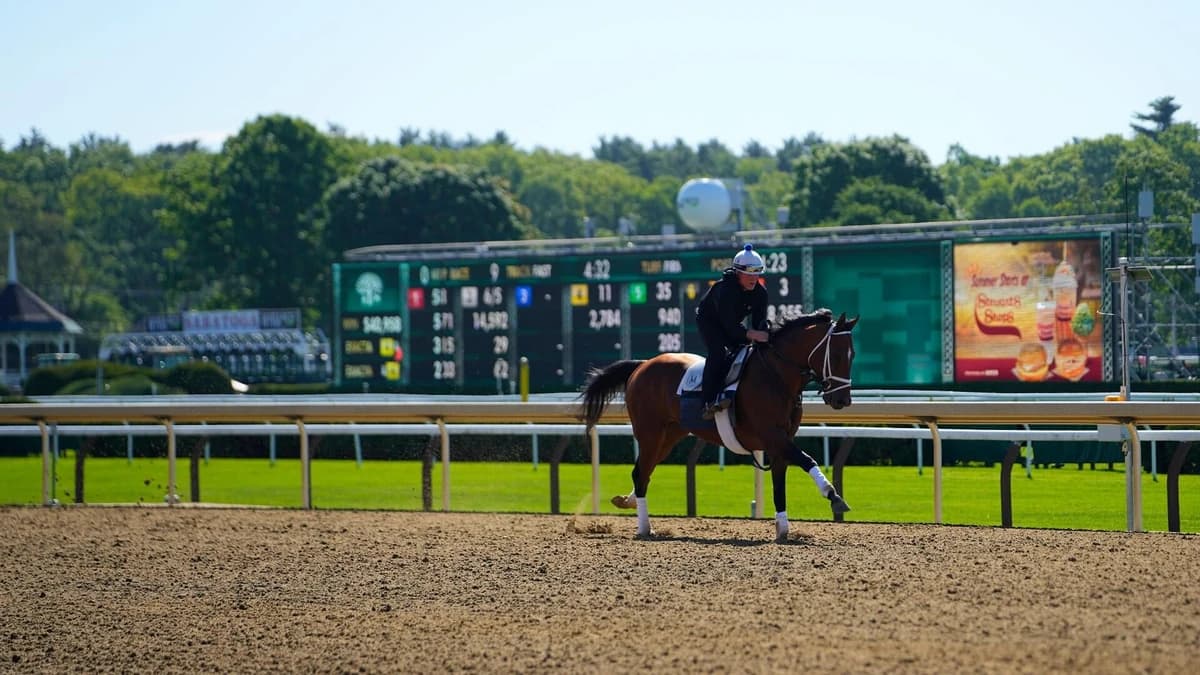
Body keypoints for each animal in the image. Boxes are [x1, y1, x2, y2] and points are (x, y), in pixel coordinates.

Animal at [579, 309, 858, 543]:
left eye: (852, 355)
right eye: (835, 355)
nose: (842, 400)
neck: (775, 376)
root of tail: (642, 365)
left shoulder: (780, 442)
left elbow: (780, 484)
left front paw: (783, 530)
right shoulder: (772, 435)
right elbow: (807, 459)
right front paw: (834, 495)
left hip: (669, 436)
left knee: (644, 472)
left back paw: (628, 502)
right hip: (650, 433)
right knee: (640, 473)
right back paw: (645, 528)